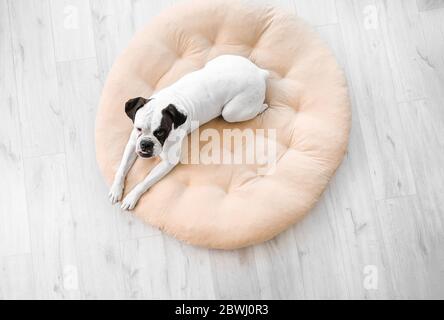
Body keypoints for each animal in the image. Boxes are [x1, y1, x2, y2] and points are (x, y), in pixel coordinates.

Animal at [109, 55, 268, 210]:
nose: (146, 144)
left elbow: (144, 182)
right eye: (138, 129)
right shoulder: (132, 144)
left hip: (231, 113)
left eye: (161, 132)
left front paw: (132, 196)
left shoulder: (168, 162)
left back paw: (263, 107)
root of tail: (259, 72)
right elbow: (122, 167)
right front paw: (116, 188)